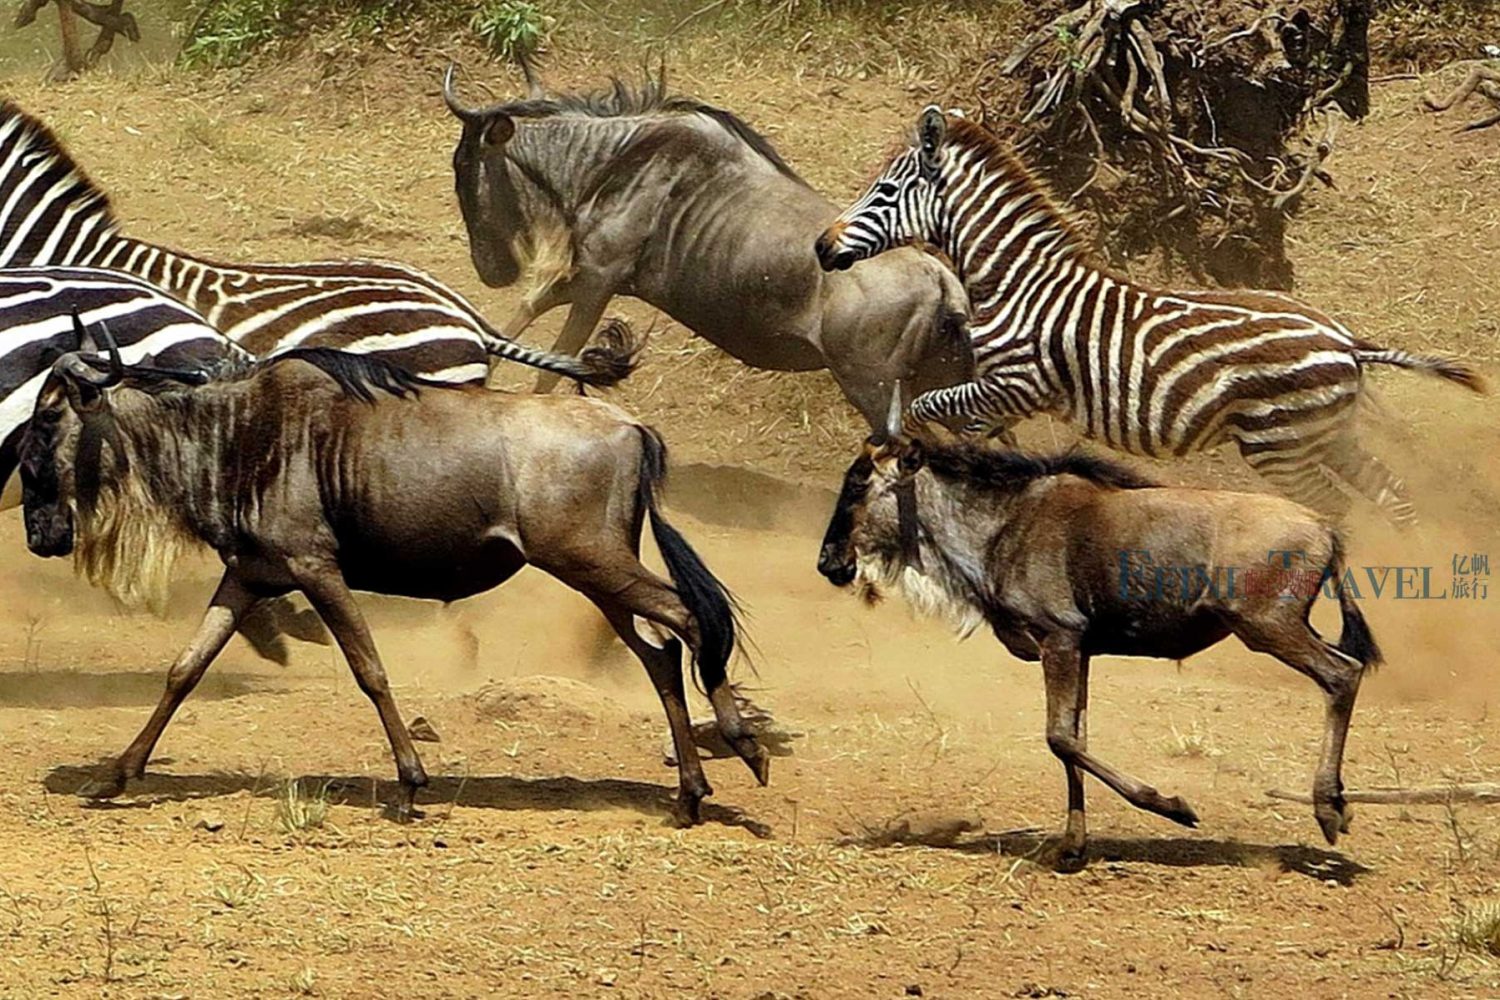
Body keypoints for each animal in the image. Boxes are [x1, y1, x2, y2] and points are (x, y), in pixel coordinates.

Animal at [822, 107, 1488, 530]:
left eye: (883, 193)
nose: (822, 249)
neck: (1017, 280)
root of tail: (1346, 341)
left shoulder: (1016, 385)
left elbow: (922, 409)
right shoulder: (1000, 397)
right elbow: (967, 433)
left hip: (1280, 446)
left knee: (1339, 510)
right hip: (1328, 435)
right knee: (1393, 496)